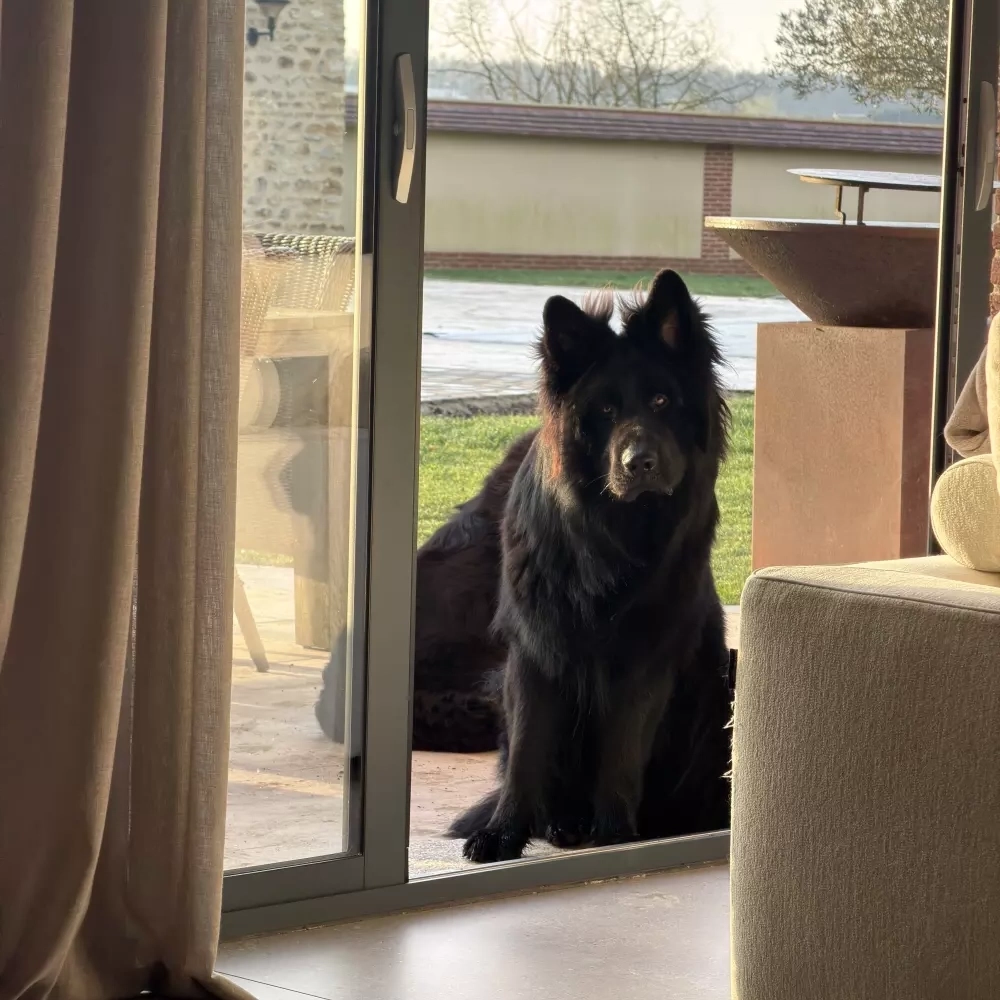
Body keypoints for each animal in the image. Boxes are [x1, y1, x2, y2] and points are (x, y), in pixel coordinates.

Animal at [449, 269, 733, 863]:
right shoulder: (534, 651)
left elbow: (621, 750)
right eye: (603, 412)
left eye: (661, 399)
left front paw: (614, 834)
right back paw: (563, 823)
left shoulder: (646, 659)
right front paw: (503, 834)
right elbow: (528, 749)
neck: (613, 539)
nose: (638, 463)